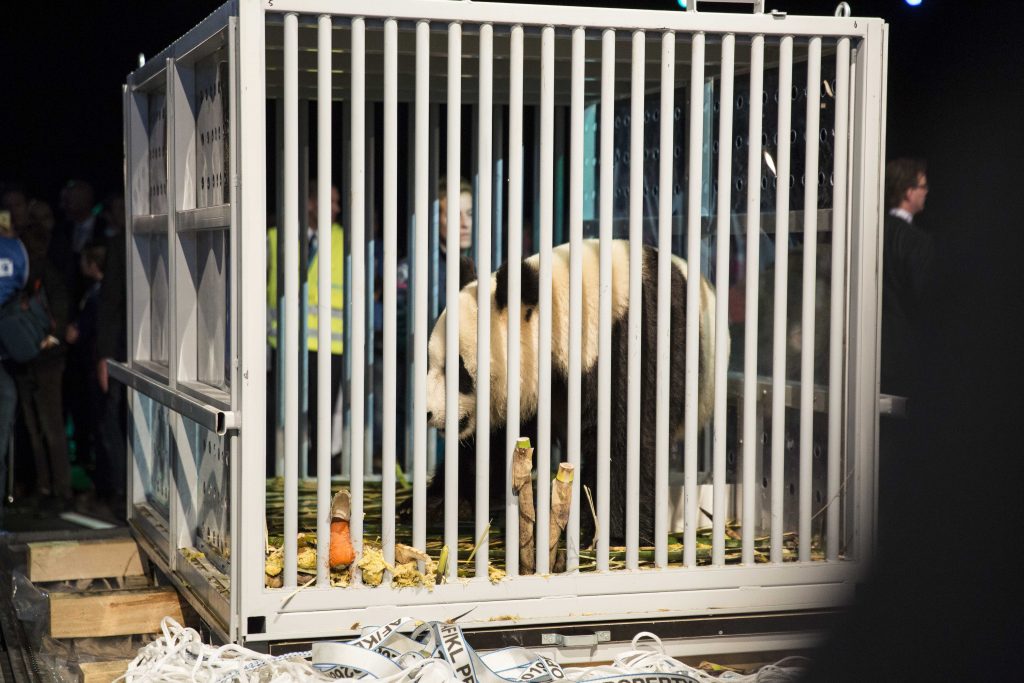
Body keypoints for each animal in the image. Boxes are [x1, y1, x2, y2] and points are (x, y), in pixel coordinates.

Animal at [419, 239, 724, 544]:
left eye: (459, 371)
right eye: (430, 362)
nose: (428, 412)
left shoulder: (633, 345)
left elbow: (627, 438)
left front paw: (609, 531)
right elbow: (498, 443)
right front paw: (439, 503)